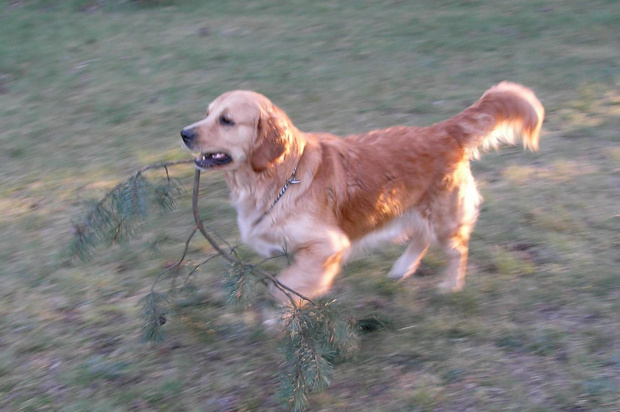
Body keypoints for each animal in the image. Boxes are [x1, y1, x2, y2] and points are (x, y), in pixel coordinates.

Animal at [180, 82, 544, 304]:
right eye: (208, 113)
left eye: (227, 120)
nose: (184, 132)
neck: (280, 175)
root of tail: (443, 130)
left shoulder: (328, 244)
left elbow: (288, 284)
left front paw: (282, 313)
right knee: (422, 236)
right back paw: (402, 268)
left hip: (444, 215)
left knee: (457, 249)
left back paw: (450, 286)